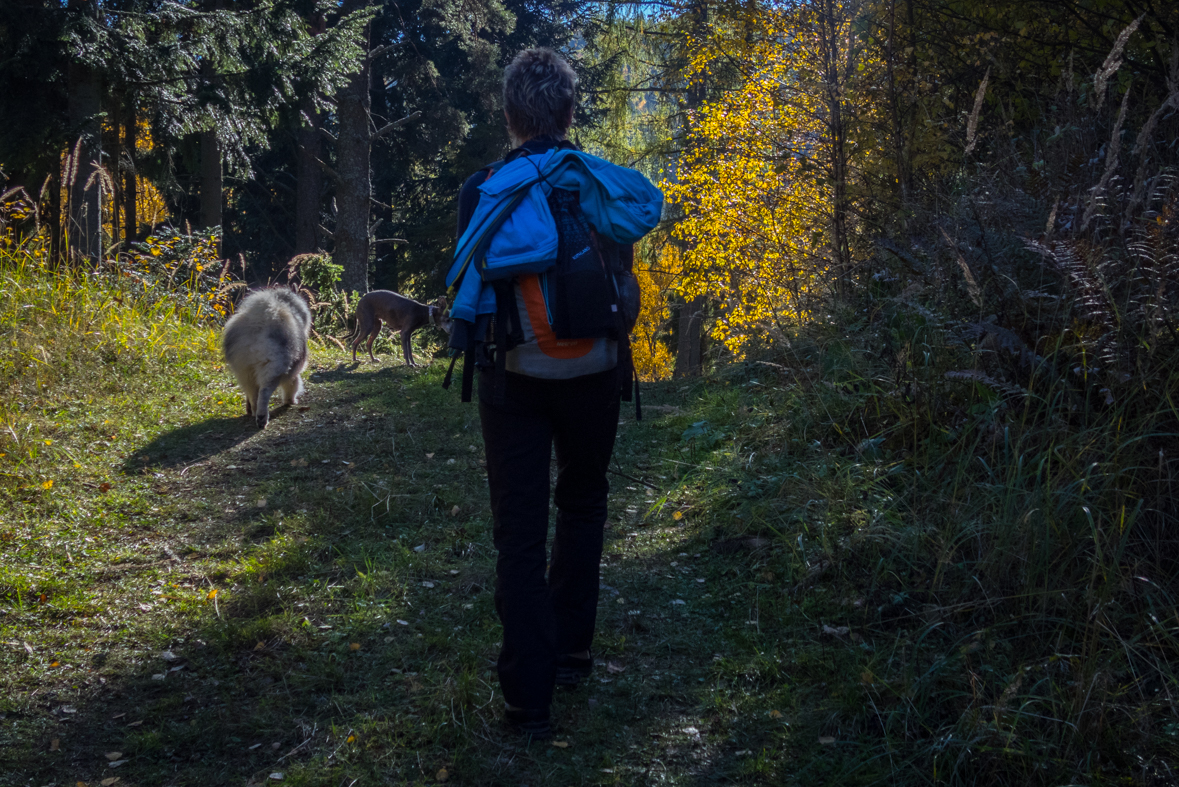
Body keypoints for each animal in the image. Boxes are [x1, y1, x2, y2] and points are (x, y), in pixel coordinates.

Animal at [221, 286, 311, 426]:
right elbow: (292, 386)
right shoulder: (293, 373)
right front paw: (291, 401)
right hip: (271, 369)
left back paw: (254, 412)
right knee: (264, 393)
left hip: (245, 371)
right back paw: (262, 418)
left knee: (253, 395)